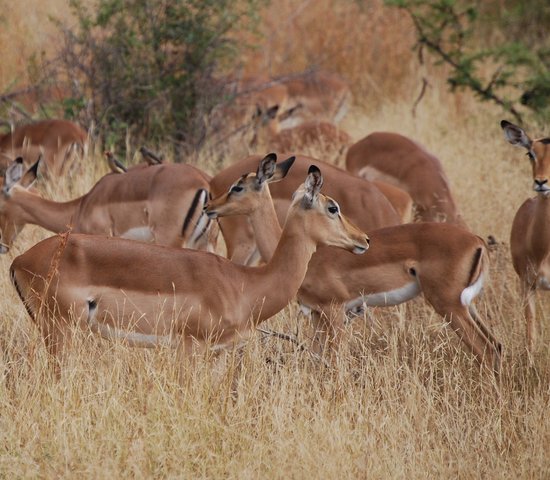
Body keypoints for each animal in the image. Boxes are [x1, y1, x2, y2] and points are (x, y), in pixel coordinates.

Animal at [9, 164, 370, 368]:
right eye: (333, 207)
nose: (363, 240)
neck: (244, 283)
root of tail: (19, 260)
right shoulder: (189, 348)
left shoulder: (220, 353)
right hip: (60, 331)